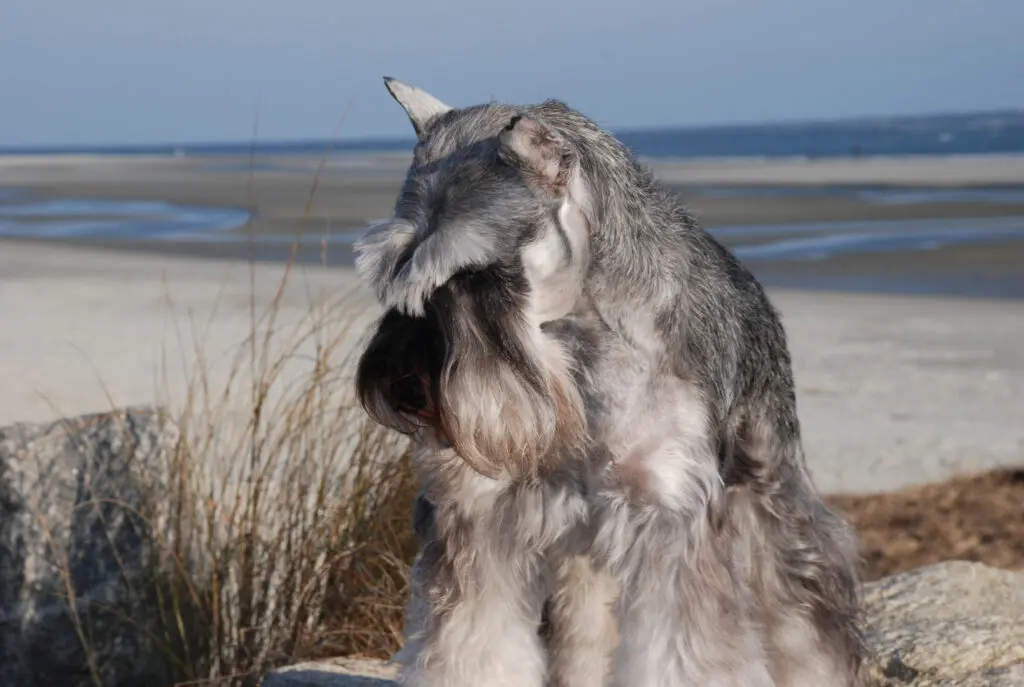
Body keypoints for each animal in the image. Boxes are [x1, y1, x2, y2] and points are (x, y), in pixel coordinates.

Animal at [352, 77, 864, 683]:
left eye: (475, 274)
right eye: (393, 267)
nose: (399, 383)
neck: (576, 354)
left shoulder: (668, 513)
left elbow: (679, 653)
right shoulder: (485, 515)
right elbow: (474, 644)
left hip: (771, 488)